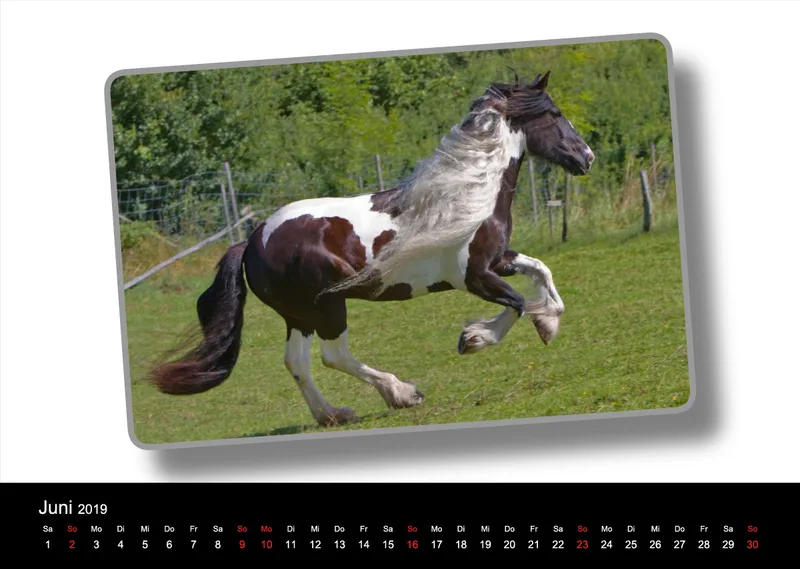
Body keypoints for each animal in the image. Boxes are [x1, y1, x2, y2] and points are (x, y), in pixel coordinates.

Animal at [147, 70, 594, 428]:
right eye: (555, 114)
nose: (587, 157)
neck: (467, 193)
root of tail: (253, 240)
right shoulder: (474, 276)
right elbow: (516, 303)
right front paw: (473, 339)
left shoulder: (499, 260)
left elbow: (541, 269)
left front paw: (548, 323)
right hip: (327, 305)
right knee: (333, 355)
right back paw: (402, 394)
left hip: (299, 315)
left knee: (298, 362)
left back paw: (333, 414)